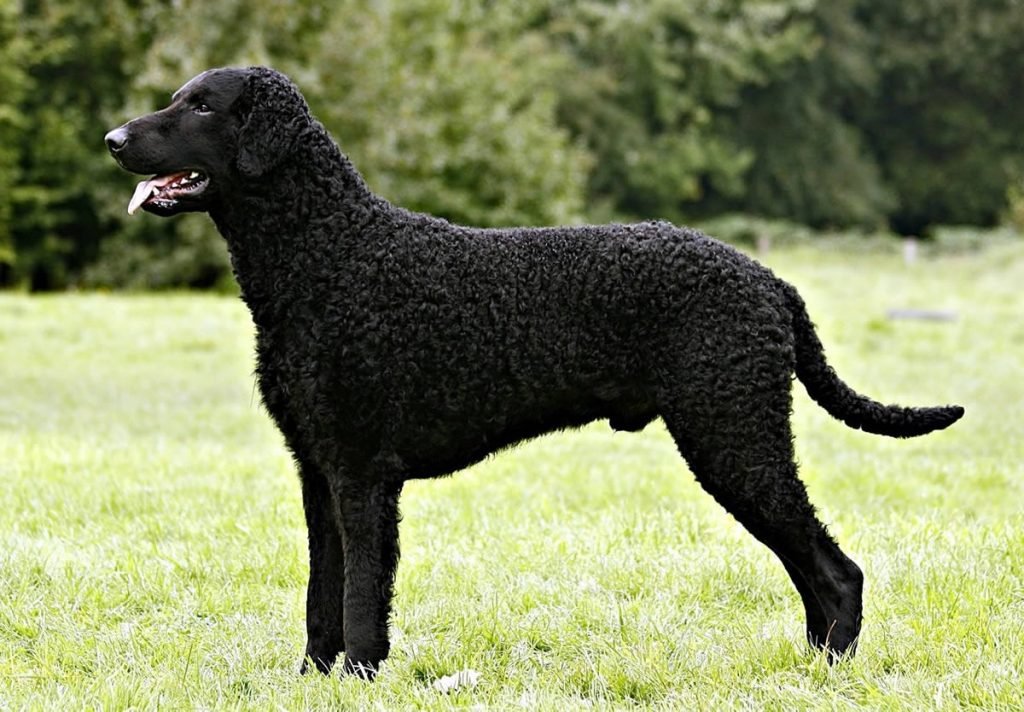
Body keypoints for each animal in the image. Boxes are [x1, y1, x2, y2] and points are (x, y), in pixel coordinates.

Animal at [108, 68, 962, 680]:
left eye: (202, 107)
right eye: (176, 99)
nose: (114, 138)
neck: (331, 250)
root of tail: (768, 279)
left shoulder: (362, 473)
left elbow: (360, 595)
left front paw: (357, 677)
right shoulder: (317, 470)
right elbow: (324, 591)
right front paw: (314, 677)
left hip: (735, 437)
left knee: (836, 570)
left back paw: (832, 669)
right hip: (737, 442)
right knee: (812, 570)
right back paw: (811, 667)